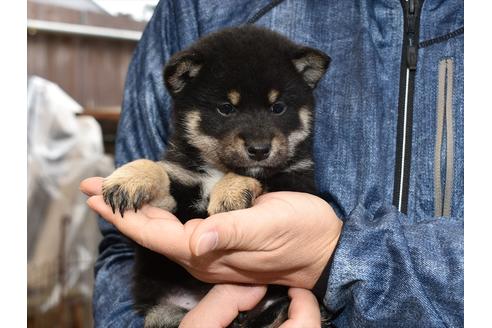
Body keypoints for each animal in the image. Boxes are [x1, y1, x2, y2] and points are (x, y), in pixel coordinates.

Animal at [104, 26, 330, 328]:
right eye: (226, 108)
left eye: (278, 107)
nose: (260, 149)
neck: (216, 169)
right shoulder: (180, 194)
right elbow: (158, 169)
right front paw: (129, 179)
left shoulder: (297, 183)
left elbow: (258, 178)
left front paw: (231, 191)